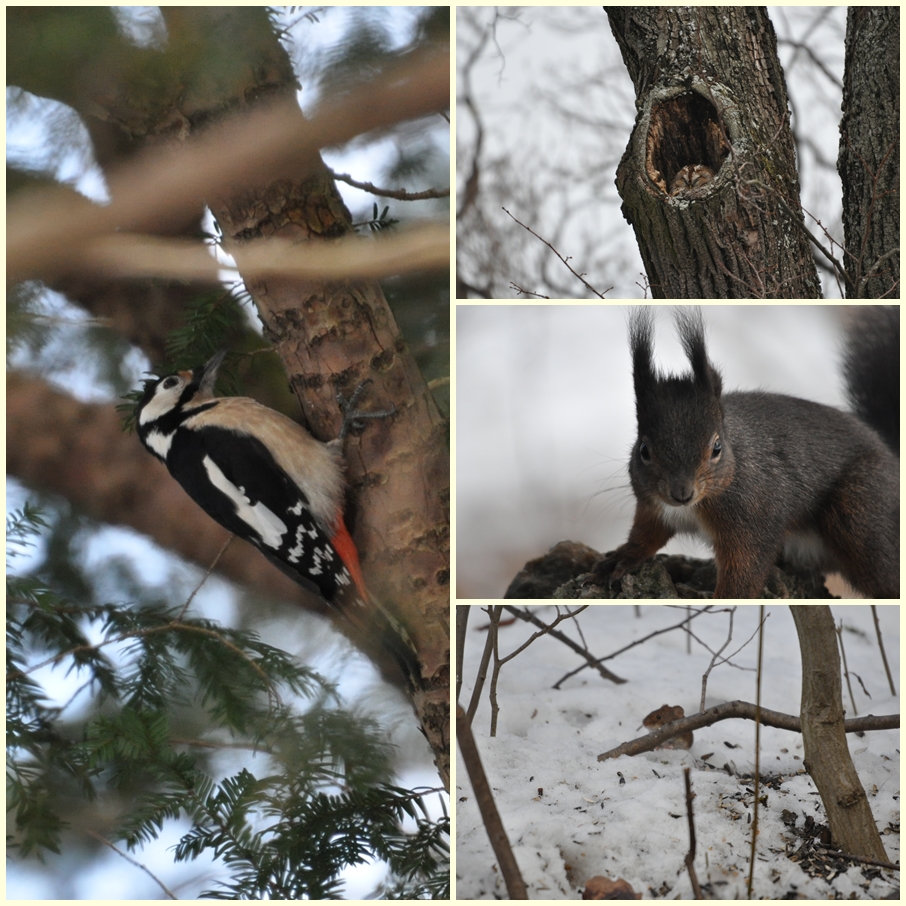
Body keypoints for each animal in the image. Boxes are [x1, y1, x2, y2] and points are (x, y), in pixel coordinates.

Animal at [588, 308, 896, 596]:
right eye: (643, 450)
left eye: (716, 447)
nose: (681, 493)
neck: (695, 506)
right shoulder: (653, 506)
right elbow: (647, 535)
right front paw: (621, 558)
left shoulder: (753, 517)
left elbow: (746, 566)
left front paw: (728, 596)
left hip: (860, 515)